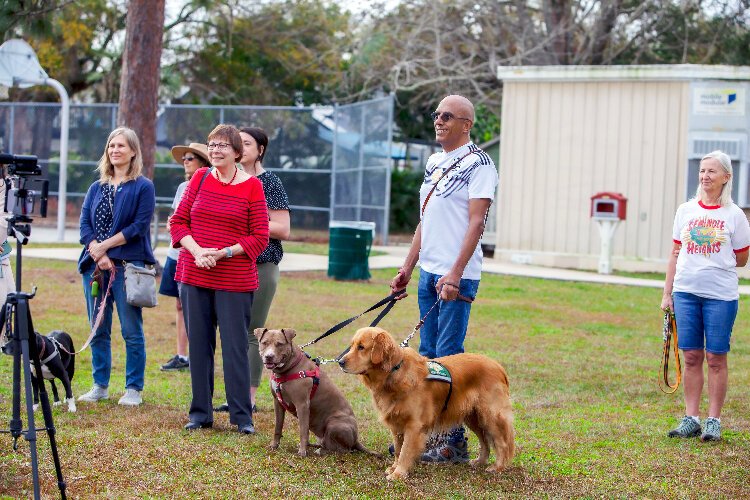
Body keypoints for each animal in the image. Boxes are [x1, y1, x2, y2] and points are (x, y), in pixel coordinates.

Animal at [258, 328, 376, 458]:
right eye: (264, 343)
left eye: (280, 344)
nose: (269, 356)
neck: (288, 368)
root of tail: (356, 440)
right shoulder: (278, 403)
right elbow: (278, 427)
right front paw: (274, 445)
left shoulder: (302, 404)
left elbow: (303, 431)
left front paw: (302, 452)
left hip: (335, 424)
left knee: (344, 450)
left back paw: (321, 451)